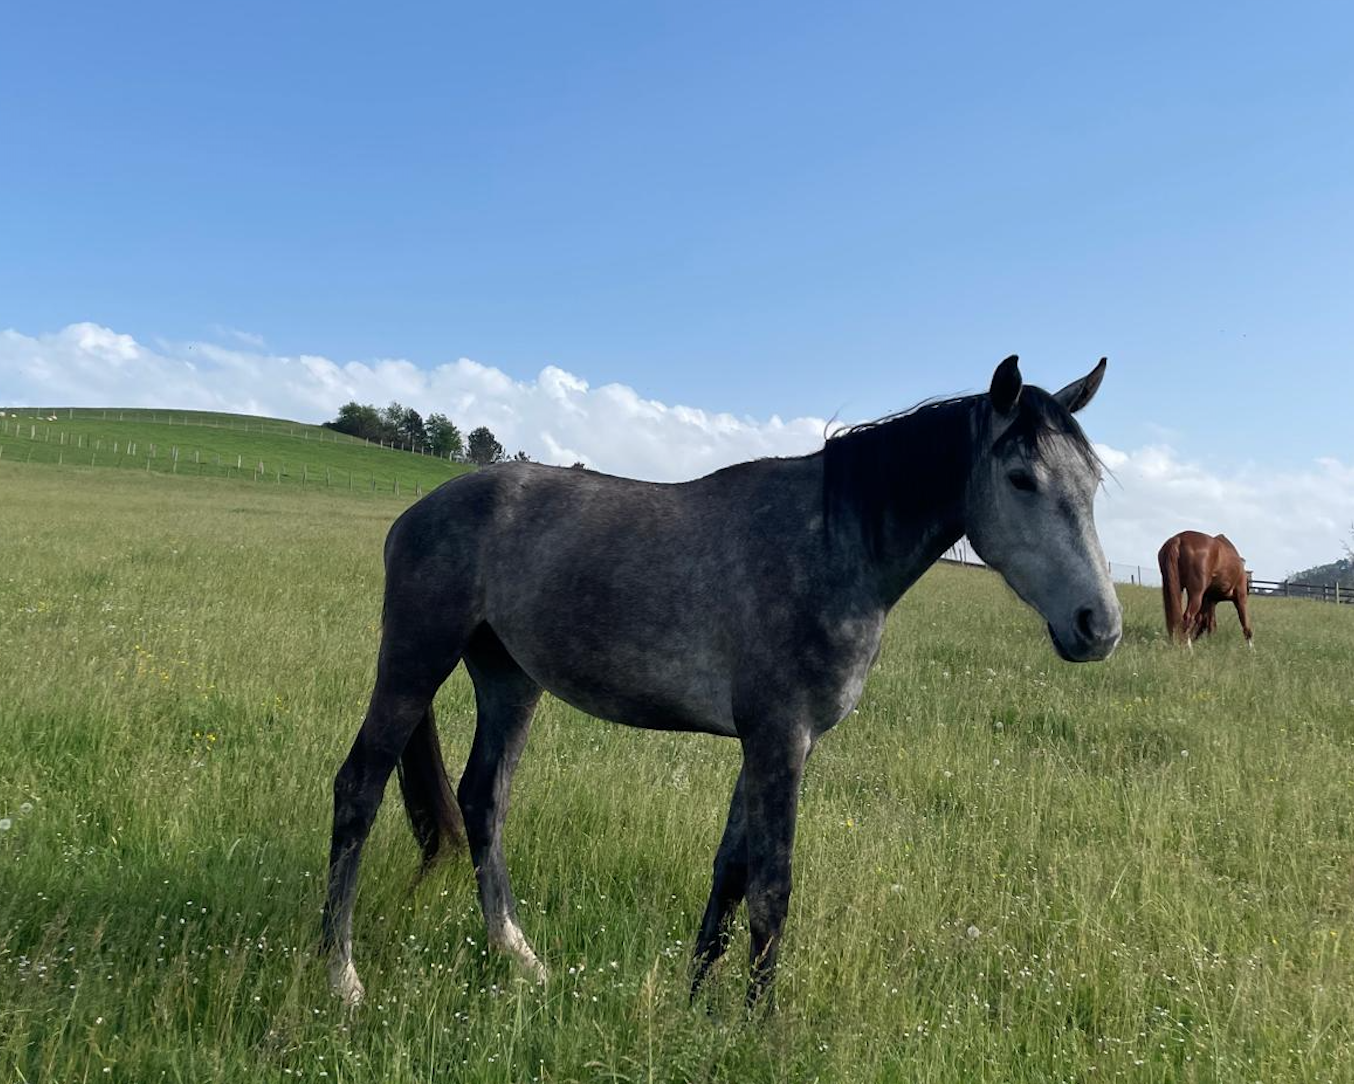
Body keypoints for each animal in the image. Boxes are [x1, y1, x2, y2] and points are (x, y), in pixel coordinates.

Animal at [321, 355, 1122, 1009]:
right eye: (1021, 479)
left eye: (1091, 485)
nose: (1100, 626)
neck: (832, 546)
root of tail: (419, 509)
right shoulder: (779, 740)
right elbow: (771, 890)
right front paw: (758, 1027)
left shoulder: (768, 744)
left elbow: (730, 874)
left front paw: (695, 1002)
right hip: (416, 659)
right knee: (359, 789)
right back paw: (342, 977)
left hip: (509, 679)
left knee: (484, 801)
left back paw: (520, 958)